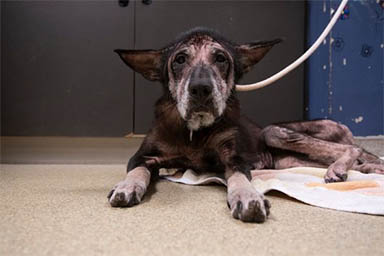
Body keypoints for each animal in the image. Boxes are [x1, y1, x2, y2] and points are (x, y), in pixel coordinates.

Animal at [108, 27, 384, 222]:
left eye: (221, 58)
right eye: (179, 60)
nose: (201, 89)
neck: (194, 132)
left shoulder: (234, 158)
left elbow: (240, 178)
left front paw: (248, 196)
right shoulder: (143, 155)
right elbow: (137, 171)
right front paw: (126, 186)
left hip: (274, 132)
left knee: (353, 148)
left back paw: (339, 168)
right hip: (289, 161)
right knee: (366, 162)